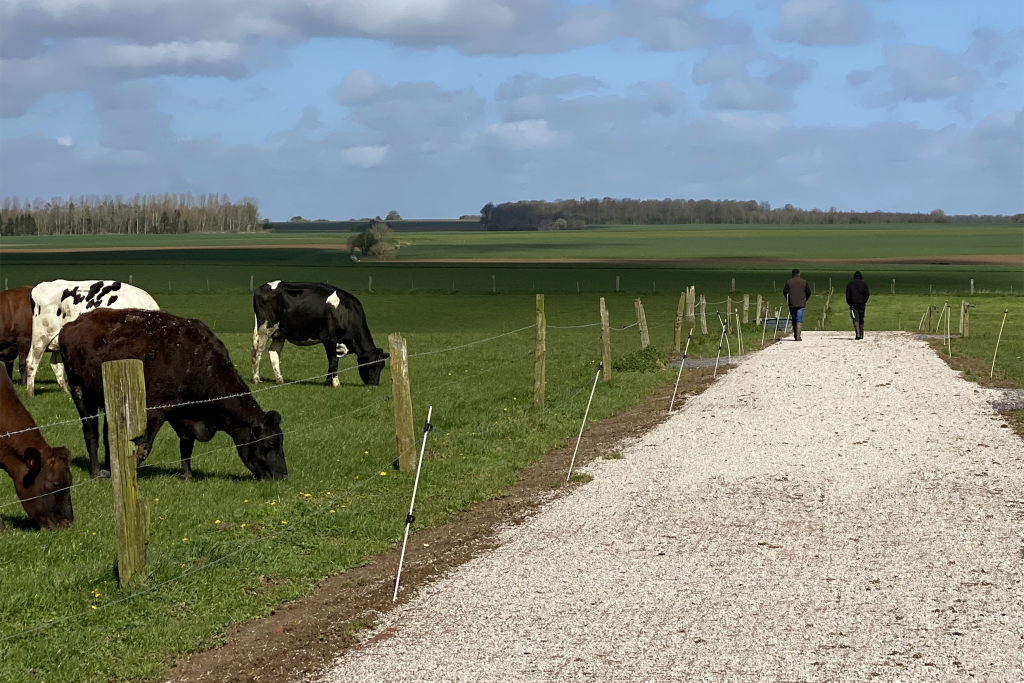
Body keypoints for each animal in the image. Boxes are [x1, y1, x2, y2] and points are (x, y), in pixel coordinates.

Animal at [26, 278, 159, 397]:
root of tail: (42, 285)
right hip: (42, 335)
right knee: (32, 361)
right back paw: (30, 393)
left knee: (56, 364)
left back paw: (65, 392)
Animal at [59, 309, 288, 481]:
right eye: (270, 444)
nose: (283, 475)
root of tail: (74, 323)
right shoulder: (153, 411)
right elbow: (143, 446)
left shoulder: (185, 413)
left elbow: (186, 444)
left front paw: (187, 475)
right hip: (80, 391)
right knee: (91, 432)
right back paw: (96, 472)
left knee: (110, 435)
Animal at [251, 280, 387, 387]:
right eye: (370, 364)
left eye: (381, 366)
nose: (374, 384)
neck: (346, 312)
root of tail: (261, 287)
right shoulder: (329, 338)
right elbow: (333, 361)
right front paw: (336, 383)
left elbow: (333, 361)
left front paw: (329, 381)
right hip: (265, 328)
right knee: (257, 351)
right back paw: (256, 379)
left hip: (279, 333)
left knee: (273, 353)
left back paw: (280, 380)